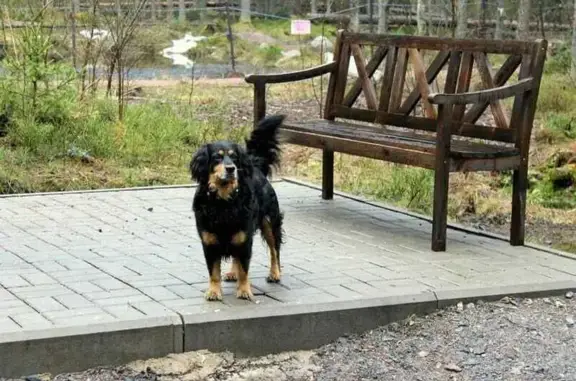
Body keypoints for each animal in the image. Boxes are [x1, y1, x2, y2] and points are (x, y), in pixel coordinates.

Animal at [189, 114, 286, 302]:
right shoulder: (209, 240)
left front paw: (244, 290)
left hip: (270, 222)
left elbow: (244, 269)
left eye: (234, 158)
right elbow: (214, 271)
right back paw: (232, 273)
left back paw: (275, 273)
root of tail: (255, 166)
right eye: (217, 157)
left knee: (274, 250)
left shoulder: (245, 237)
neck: (223, 201)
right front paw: (214, 291)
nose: (231, 168)